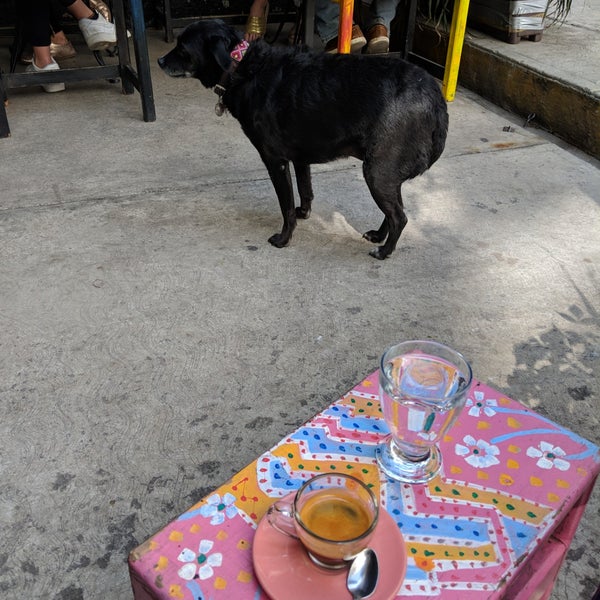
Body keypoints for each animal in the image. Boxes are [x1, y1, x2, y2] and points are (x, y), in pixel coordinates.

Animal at [157, 19, 448, 258]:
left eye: (182, 49)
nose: (159, 61)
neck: (243, 66)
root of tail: (433, 93)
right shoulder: (300, 159)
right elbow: (305, 190)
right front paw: (304, 214)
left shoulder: (276, 161)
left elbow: (285, 206)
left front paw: (284, 238)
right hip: (386, 171)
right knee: (394, 210)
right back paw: (379, 236)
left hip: (377, 171)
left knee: (399, 216)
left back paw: (385, 251)